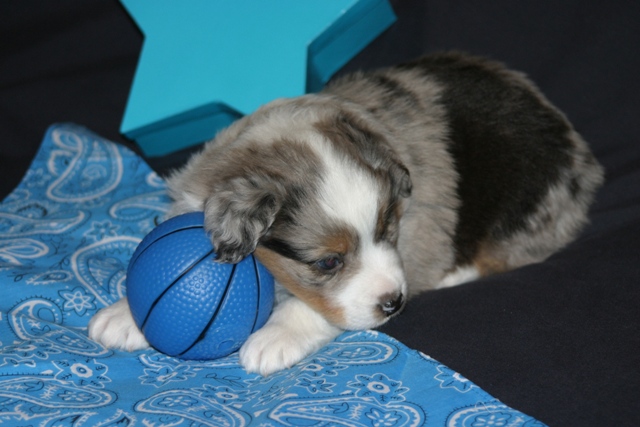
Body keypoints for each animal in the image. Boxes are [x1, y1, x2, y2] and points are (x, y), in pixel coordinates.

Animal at [88, 52, 604, 376]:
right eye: (327, 262)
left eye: (389, 227)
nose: (394, 303)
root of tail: (581, 155)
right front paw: (126, 316)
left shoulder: (418, 242)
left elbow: (315, 308)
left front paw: (275, 338)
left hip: (526, 199)